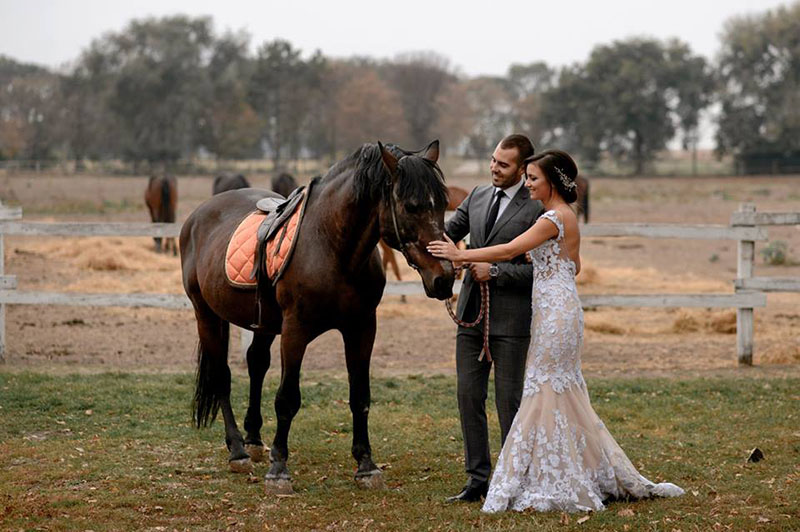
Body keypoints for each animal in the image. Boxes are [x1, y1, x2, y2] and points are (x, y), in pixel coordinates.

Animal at [182, 140, 456, 490]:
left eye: (443, 204)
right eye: (410, 206)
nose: (444, 277)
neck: (331, 246)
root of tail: (197, 216)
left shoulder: (362, 328)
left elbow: (360, 396)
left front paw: (366, 465)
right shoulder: (295, 330)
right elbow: (287, 399)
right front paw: (279, 469)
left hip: (263, 324)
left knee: (256, 363)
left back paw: (254, 440)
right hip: (205, 314)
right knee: (221, 376)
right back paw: (238, 451)